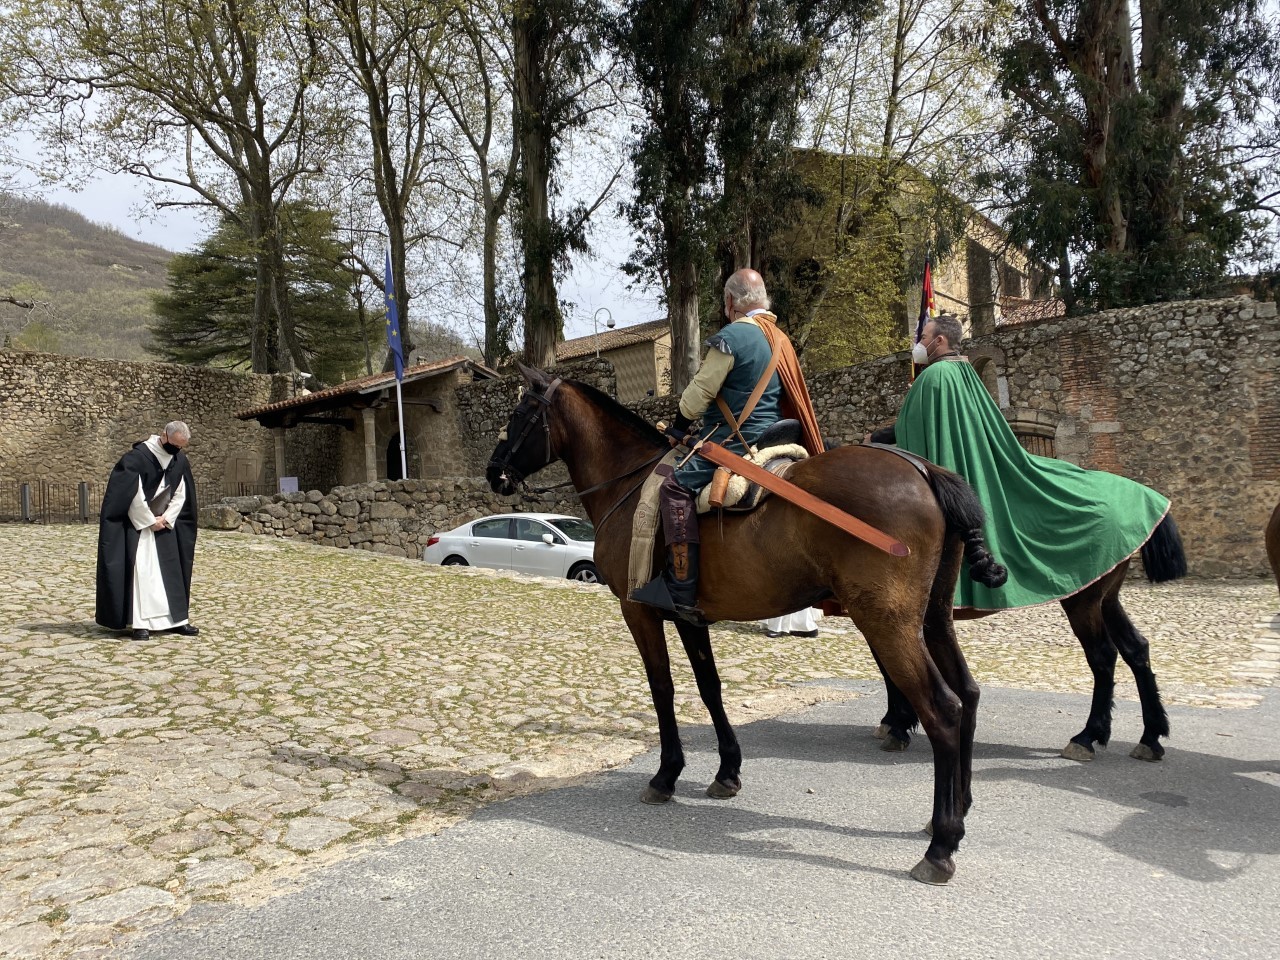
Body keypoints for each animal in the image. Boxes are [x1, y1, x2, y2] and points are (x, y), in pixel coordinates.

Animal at [486, 371, 1008, 885]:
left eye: (519, 413)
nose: (494, 472)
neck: (629, 483)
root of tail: (923, 469)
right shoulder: (688, 616)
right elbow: (709, 687)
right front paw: (727, 771)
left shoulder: (638, 612)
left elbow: (662, 688)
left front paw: (666, 775)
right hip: (932, 619)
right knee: (968, 693)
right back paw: (957, 811)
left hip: (888, 623)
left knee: (943, 709)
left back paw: (940, 845)